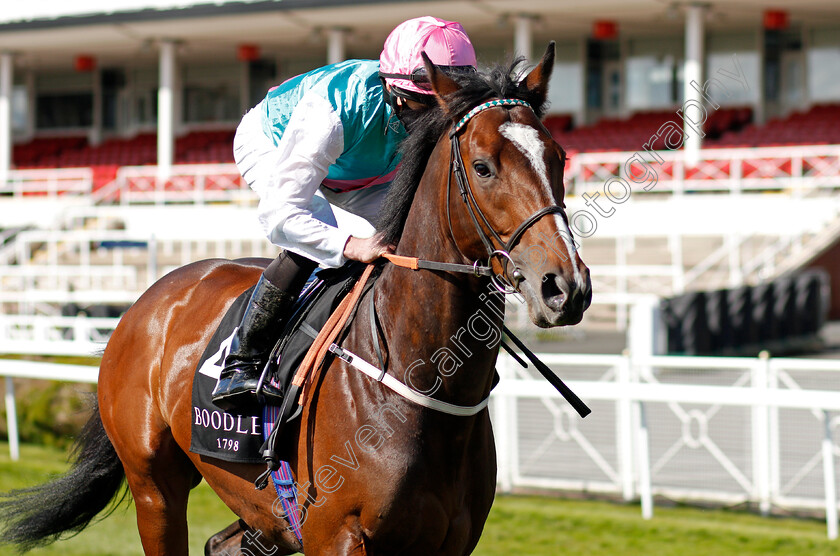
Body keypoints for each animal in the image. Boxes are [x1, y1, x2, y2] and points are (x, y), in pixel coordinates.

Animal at [0, 44, 592, 556]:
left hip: (256, 508)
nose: (564, 286)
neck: (422, 384)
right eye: (483, 166)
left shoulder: (449, 542)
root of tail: (149, 300)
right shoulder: (338, 536)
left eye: (559, 157)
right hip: (155, 489)